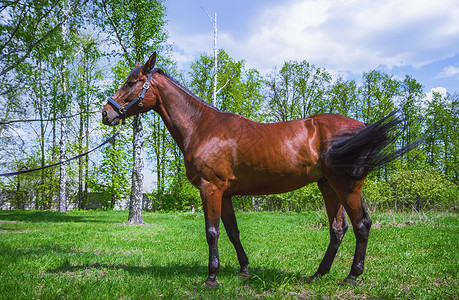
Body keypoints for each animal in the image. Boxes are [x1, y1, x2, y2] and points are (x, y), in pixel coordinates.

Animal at [102, 52, 416, 288]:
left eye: (131, 82)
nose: (107, 113)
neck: (202, 127)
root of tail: (359, 127)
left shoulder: (210, 188)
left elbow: (212, 232)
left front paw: (211, 278)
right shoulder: (225, 193)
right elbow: (232, 231)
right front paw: (244, 269)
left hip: (345, 186)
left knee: (362, 225)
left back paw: (352, 276)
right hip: (328, 186)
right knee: (338, 229)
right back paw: (318, 274)